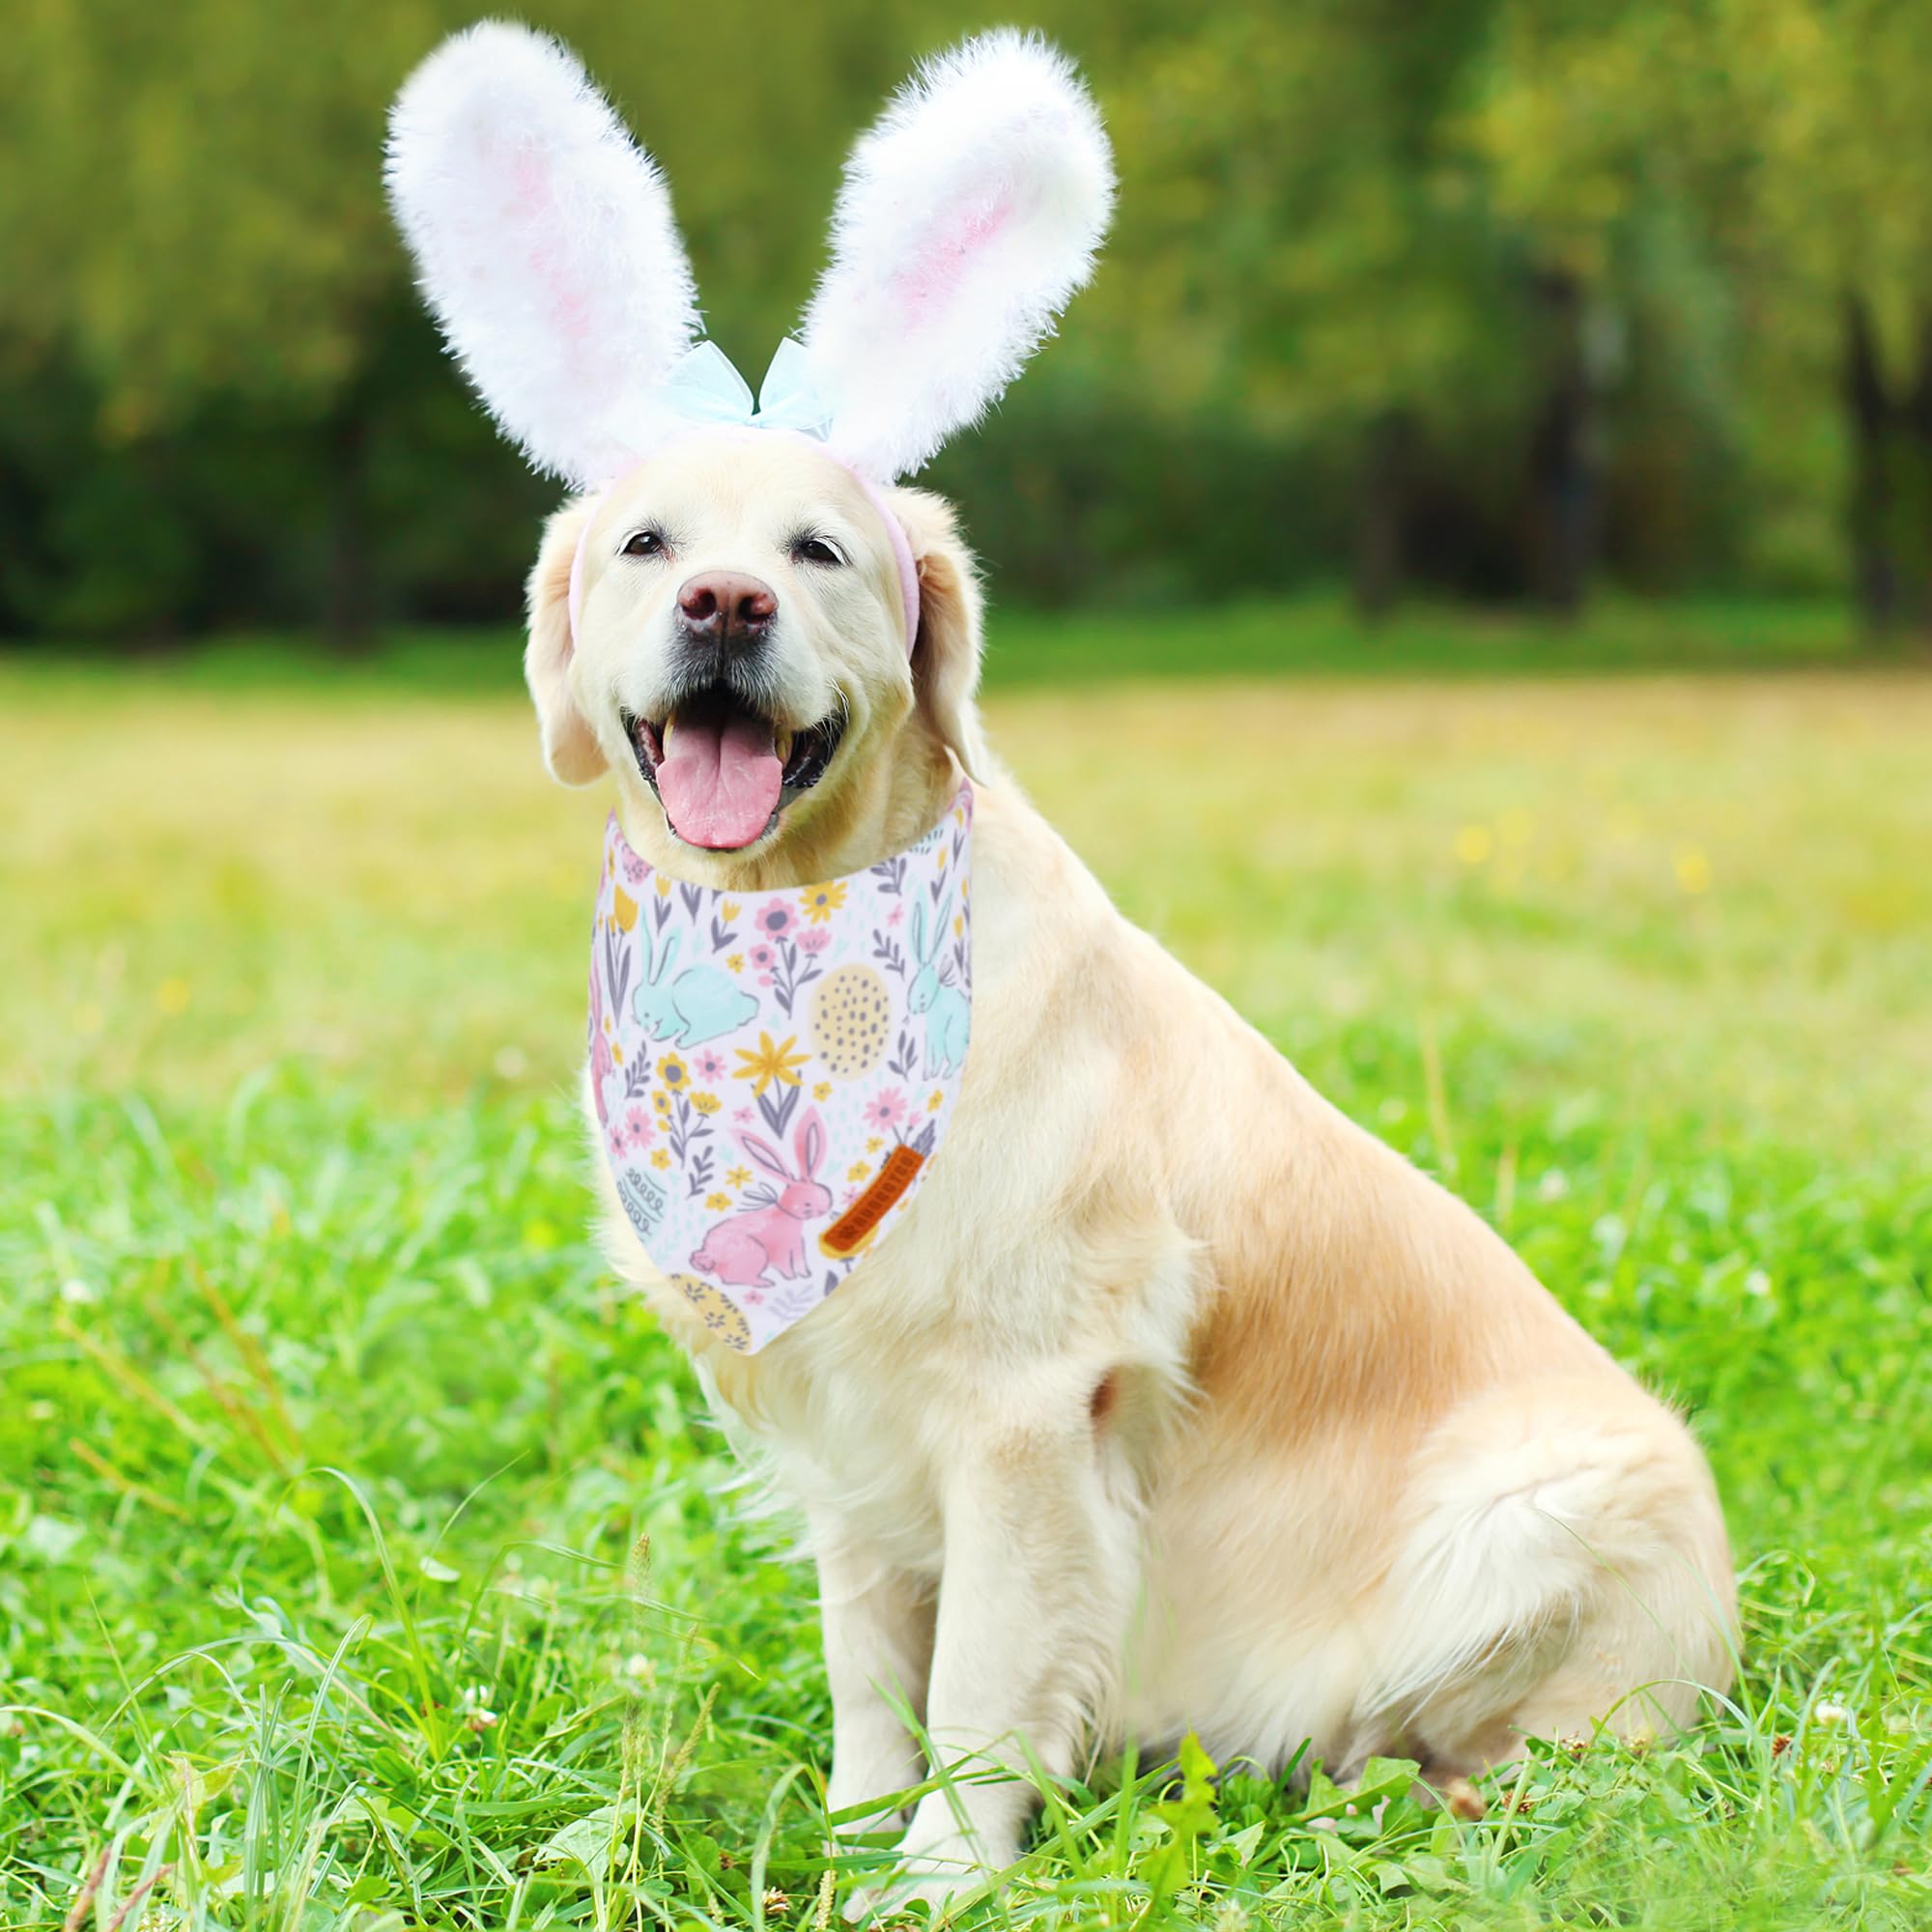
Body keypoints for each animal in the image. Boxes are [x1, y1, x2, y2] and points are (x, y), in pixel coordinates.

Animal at [632, 920, 759, 1048]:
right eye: (638, 1019)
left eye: (646, 1014)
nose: (646, 1029)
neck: (664, 997)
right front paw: (656, 1036)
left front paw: (656, 1036)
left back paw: (682, 1041)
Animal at [689, 1108, 832, 1286]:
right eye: (807, 1204)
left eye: (824, 1193)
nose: (825, 1208)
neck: (786, 1215)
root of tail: (710, 1258)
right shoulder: (781, 1249)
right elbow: (785, 1265)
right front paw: (791, 1278)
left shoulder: (797, 1246)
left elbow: (800, 1263)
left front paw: (805, 1275)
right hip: (757, 1253)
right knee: (733, 1278)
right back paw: (765, 1282)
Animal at [908, 891, 971, 1077]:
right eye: (911, 990)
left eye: (922, 995)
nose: (913, 1010)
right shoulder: (928, 1037)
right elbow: (930, 1054)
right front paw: (927, 1074)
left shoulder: (935, 1033)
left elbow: (937, 1055)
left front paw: (931, 1074)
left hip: (950, 1038)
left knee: (953, 1060)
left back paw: (945, 1073)